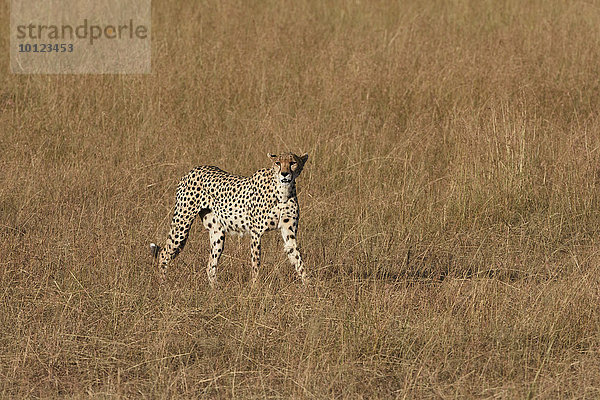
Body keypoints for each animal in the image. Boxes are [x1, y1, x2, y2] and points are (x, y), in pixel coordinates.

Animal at [150, 152, 310, 286]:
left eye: (293, 162)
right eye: (278, 162)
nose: (284, 174)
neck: (283, 192)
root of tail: (194, 169)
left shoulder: (289, 233)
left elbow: (298, 260)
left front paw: (309, 287)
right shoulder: (256, 233)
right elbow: (256, 263)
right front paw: (255, 287)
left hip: (217, 233)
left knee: (210, 265)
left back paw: (216, 291)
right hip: (182, 224)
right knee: (164, 253)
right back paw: (163, 285)